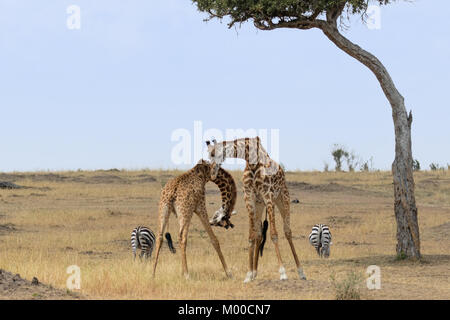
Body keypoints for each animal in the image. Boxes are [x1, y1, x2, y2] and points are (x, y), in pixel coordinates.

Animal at [207, 138, 306, 282]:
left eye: (213, 154)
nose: (212, 174)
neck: (252, 160)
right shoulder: (249, 199)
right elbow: (252, 236)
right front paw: (249, 274)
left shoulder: (268, 195)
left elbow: (274, 234)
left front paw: (282, 273)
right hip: (260, 205)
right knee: (259, 234)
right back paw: (254, 272)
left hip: (282, 199)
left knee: (287, 231)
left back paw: (301, 272)